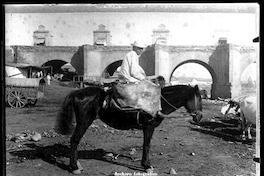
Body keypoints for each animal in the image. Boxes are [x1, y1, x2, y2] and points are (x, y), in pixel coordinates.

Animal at [53, 79, 202, 174]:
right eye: (199, 98)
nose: (199, 117)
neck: (158, 102)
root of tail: (77, 93)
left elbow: (145, 144)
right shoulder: (149, 127)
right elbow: (147, 145)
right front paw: (147, 166)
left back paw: (76, 164)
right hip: (84, 122)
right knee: (74, 140)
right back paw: (74, 167)